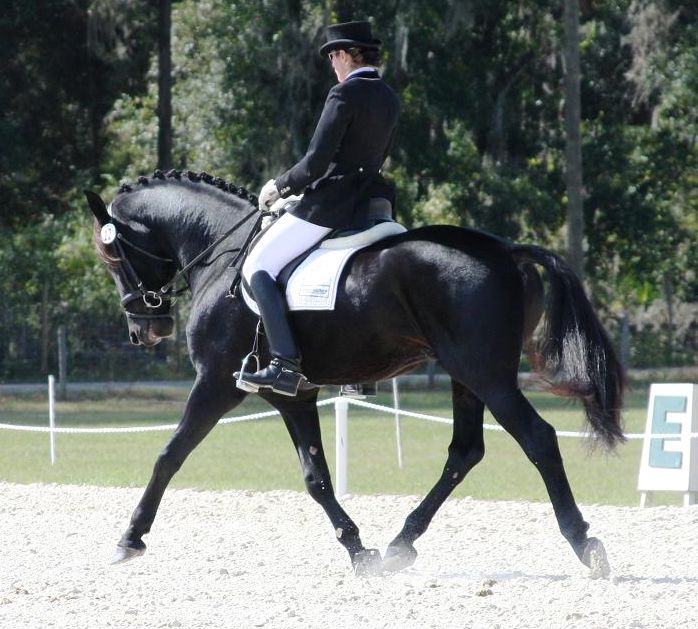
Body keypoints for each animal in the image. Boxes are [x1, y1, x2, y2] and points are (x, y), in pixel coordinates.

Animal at [84, 169, 624, 576]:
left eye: (111, 254)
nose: (144, 330)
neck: (221, 255)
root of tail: (507, 251)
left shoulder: (216, 382)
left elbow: (169, 455)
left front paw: (130, 538)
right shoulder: (293, 396)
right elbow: (316, 477)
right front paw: (359, 550)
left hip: (486, 374)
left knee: (538, 438)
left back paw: (584, 544)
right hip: (466, 376)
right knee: (465, 451)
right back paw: (401, 544)